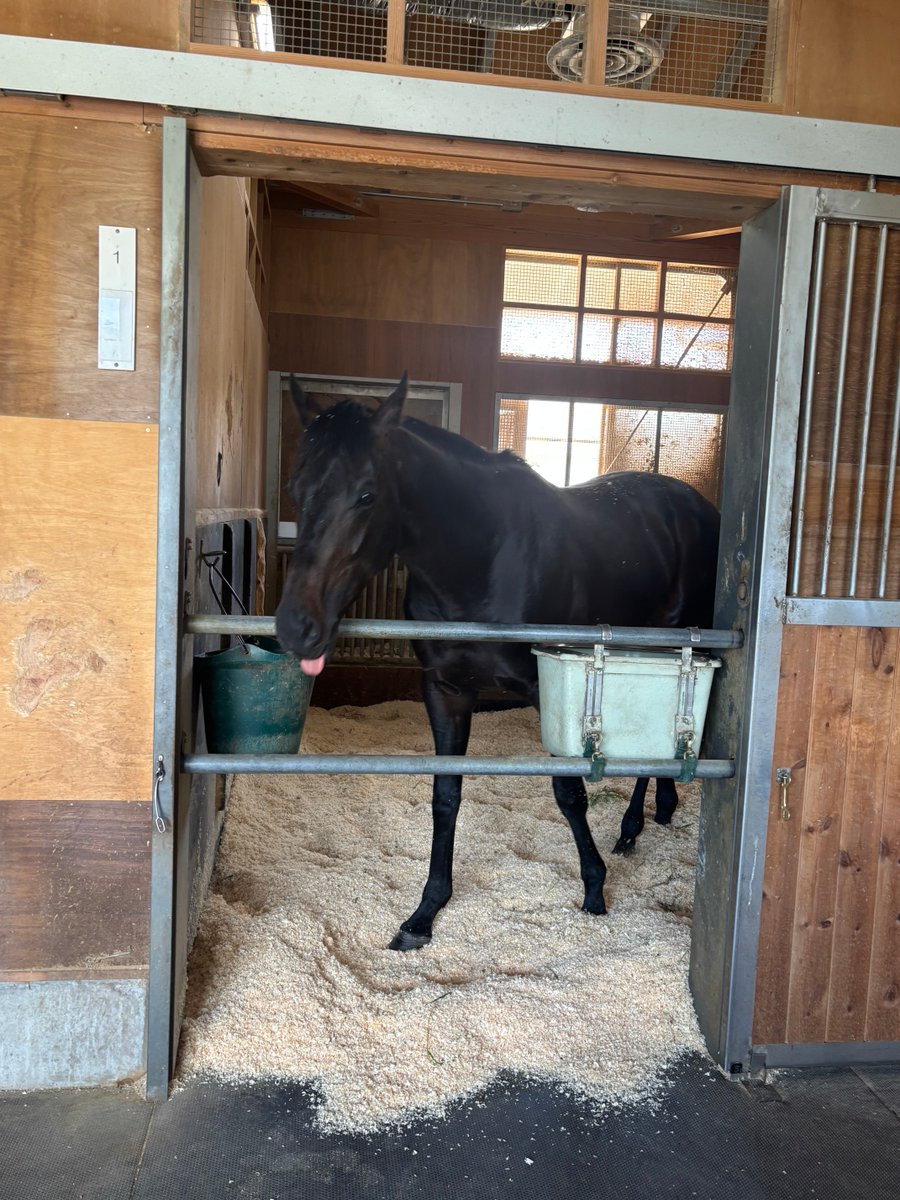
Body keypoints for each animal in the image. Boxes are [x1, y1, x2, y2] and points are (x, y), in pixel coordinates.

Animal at [275, 374, 720, 951]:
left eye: (366, 494)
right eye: (296, 488)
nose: (296, 628)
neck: (481, 557)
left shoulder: (549, 689)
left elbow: (568, 792)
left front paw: (594, 888)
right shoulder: (446, 690)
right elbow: (446, 795)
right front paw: (425, 912)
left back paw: (630, 826)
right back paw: (655, 813)